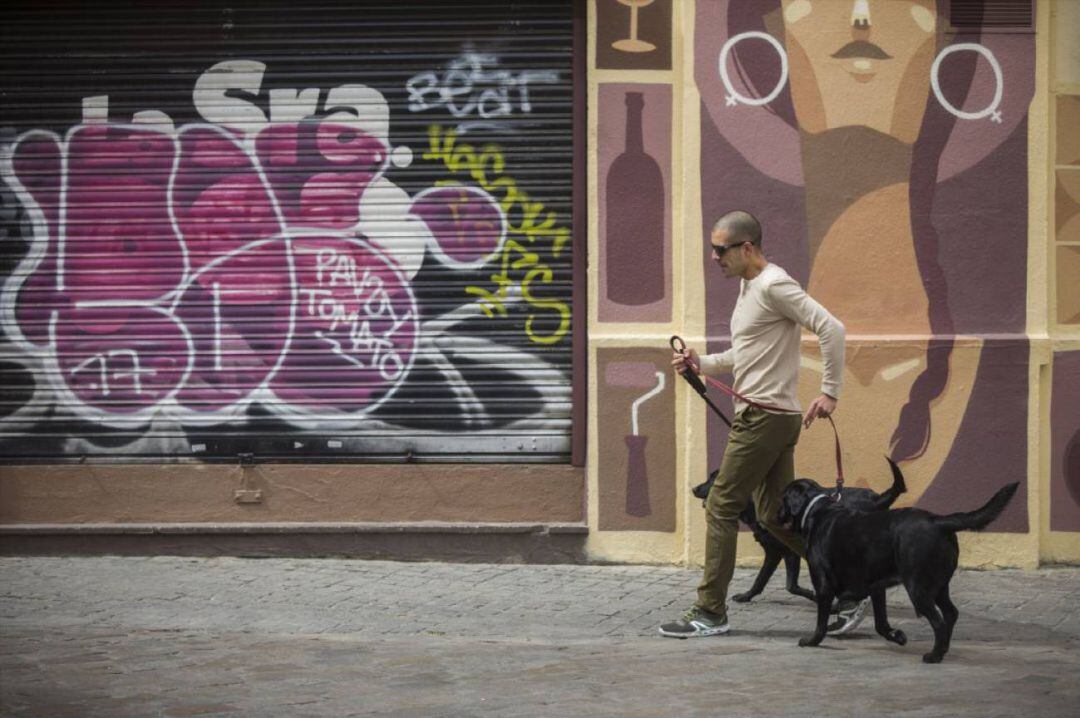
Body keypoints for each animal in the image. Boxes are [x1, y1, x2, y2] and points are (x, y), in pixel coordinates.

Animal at [691, 464, 902, 604]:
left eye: (714, 479)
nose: (693, 488)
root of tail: (877, 499)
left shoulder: (787, 551)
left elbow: (787, 585)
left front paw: (815, 596)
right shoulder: (777, 552)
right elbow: (762, 579)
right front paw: (747, 596)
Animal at [777, 462, 1019, 665]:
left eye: (783, 498)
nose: (776, 515)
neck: (816, 510)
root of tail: (938, 521)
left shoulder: (823, 585)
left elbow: (821, 623)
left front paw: (811, 641)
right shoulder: (877, 588)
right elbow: (881, 623)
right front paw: (897, 636)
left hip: (918, 587)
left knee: (939, 621)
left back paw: (934, 655)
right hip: (939, 584)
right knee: (951, 613)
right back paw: (943, 649)